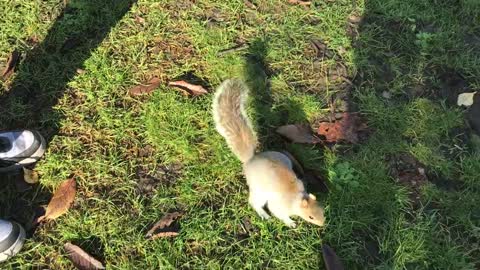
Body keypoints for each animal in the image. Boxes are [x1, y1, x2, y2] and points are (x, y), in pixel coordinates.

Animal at [212, 78, 324, 228]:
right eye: (311, 217)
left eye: (322, 210)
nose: (323, 223)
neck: (297, 198)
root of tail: (251, 159)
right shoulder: (280, 205)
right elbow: (278, 212)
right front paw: (290, 223)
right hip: (259, 190)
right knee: (255, 202)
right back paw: (263, 214)